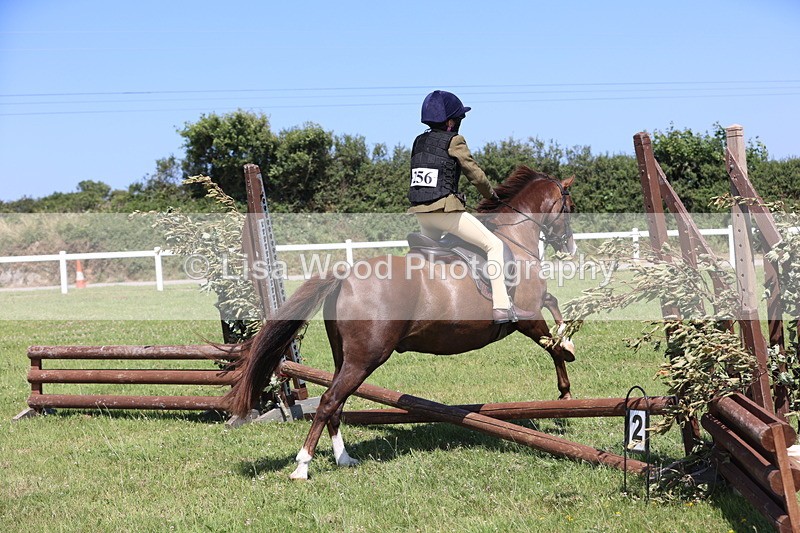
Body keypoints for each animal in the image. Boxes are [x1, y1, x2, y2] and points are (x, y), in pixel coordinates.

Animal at [223, 165, 577, 480]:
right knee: (328, 402)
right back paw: (303, 466)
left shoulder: (535, 309)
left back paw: (344, 458)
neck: (515, 238)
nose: (570, 248)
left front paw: (569, 340)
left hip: (346, 358)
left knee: (337, 403)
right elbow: (553, 345)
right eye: (570, 208)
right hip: (366, 357)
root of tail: (345, 275)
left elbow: (554, 306)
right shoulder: (527, 317)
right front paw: (566, 388)